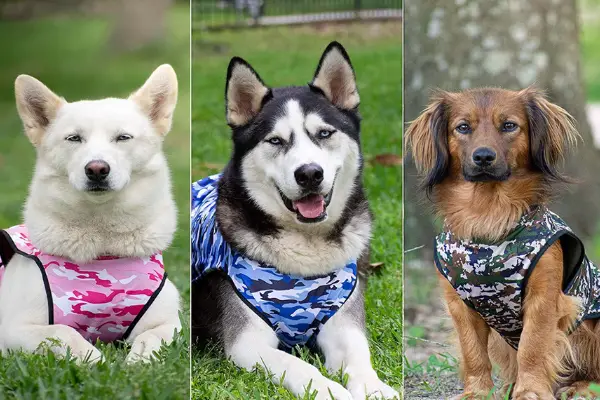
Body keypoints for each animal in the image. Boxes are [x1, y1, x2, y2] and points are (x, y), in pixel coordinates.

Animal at [0, 65, 183, 362]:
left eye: (123, 137)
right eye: (74, 138)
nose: (97, 169)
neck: (102, 246)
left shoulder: (169, 323)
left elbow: (151, 337)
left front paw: (139, 361)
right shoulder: (13, 329)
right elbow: (64, 332)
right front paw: (94, 360)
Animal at [191, 42, 398, 398]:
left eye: (325, 133)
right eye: (275, 140)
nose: (310, 174)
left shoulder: (344, 323)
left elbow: (360, 355)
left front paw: (374, 387)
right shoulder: (246, 343)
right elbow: (298, 365)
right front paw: (330, 390)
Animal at [406, 88, 600, 400]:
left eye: (509, 125)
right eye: (463, 127)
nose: (483, 156)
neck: (489, 217)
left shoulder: (543, 299)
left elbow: (533, 346)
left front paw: (530, 390)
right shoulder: (460, 304)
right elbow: (473, 352)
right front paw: (477, 392)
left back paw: (579, 387)